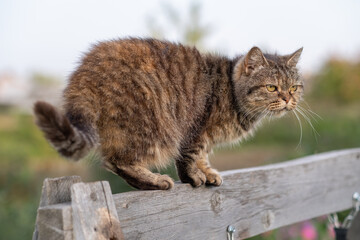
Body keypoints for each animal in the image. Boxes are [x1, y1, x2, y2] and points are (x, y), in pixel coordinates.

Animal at [34, 38, 304, 190]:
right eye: (271, 87)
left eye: (293, 87)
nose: (288, 99)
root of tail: (83, 74)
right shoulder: (196, 129)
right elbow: (190, 156)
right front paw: (194, 176)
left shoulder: (204, 138)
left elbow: (203, 156)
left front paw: (207, 173)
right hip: (151, 124)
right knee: (117, 160)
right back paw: (154, 181)